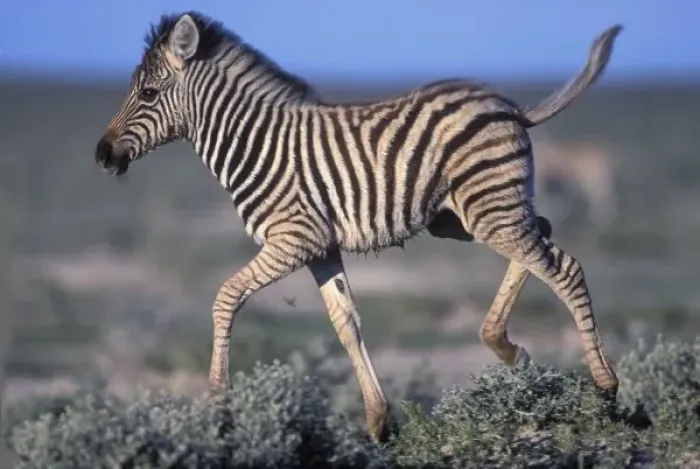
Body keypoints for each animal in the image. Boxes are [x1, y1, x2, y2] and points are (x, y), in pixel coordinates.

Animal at [94, 11, 623, 442]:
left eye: (147, 94)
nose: (101, 154)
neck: (253, 143)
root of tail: (511, 106)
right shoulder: (320, 247)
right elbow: (346, 322)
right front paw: (378, 420)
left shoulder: (293, 238)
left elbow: (227, 296)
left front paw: (219, 403)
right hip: (467, 214)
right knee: (542, 233)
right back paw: (504, 345)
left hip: (488, 205)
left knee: (562, 267)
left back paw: (606, 389)